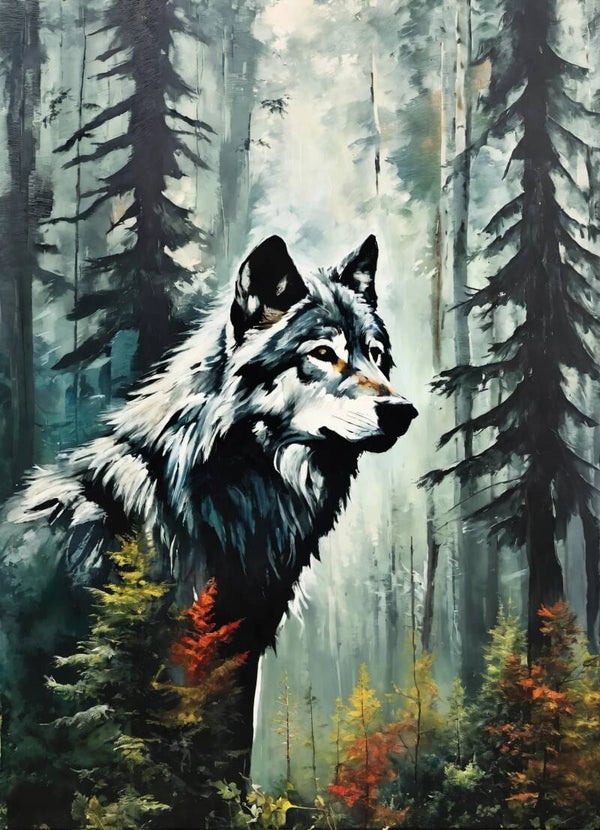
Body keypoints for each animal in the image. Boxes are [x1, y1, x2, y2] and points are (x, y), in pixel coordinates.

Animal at [0, 234, 416, 826]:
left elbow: (230, 750)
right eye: (322, 354)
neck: (218, 491)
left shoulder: (240, 649)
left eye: (376, 357)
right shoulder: (178, 658)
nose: (403, 411)